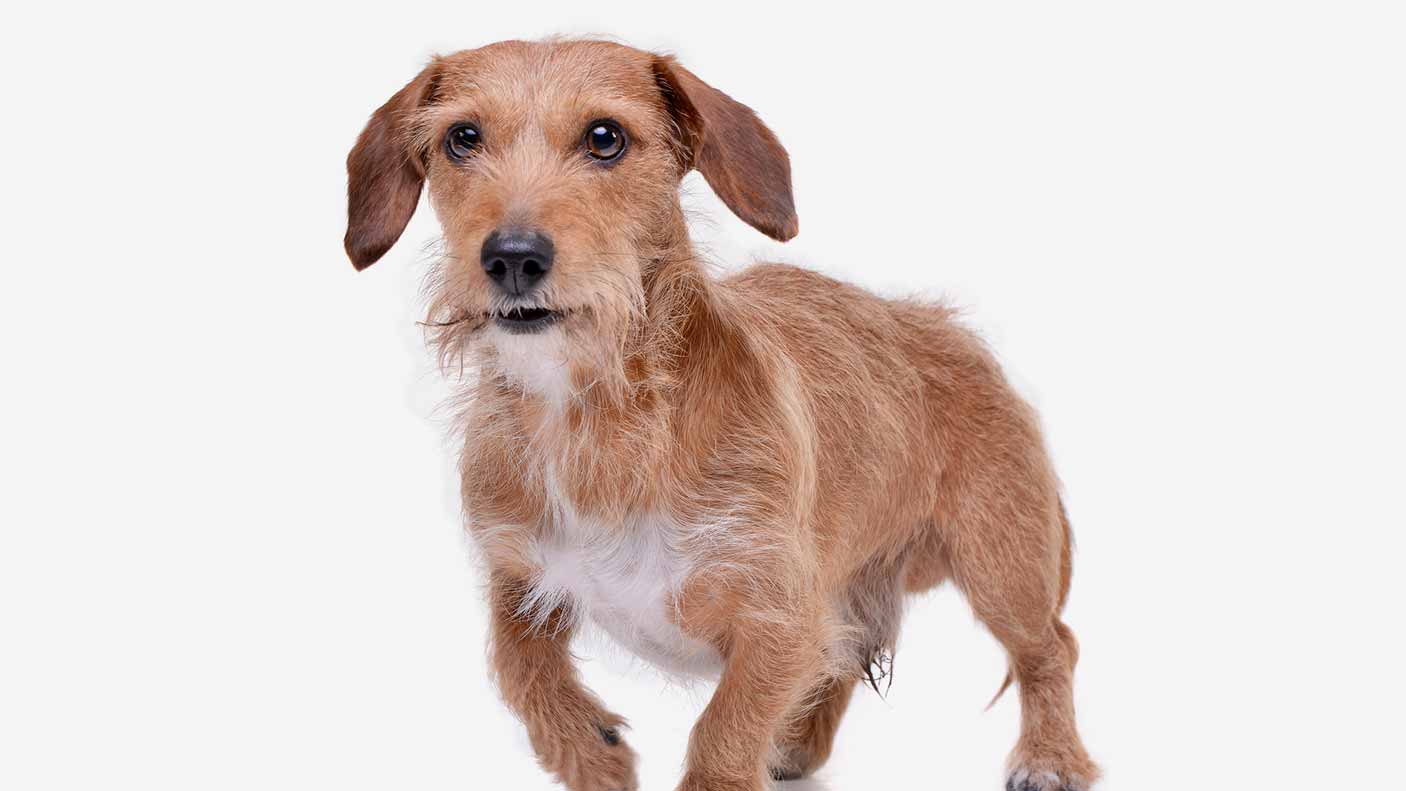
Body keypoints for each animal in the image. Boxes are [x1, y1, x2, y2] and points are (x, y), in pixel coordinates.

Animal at [343, 38, 1096, 791]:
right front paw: (593, 754)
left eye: (605, 138)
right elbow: (519, 669)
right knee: (847, 657)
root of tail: (953, 331)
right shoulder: (520, 578)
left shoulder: (779, 616)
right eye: (462, 138)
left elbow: (723, 732)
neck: (597, 411)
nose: (512, 257)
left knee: (1050, 647)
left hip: (1003, 562)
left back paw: (1049, 757)